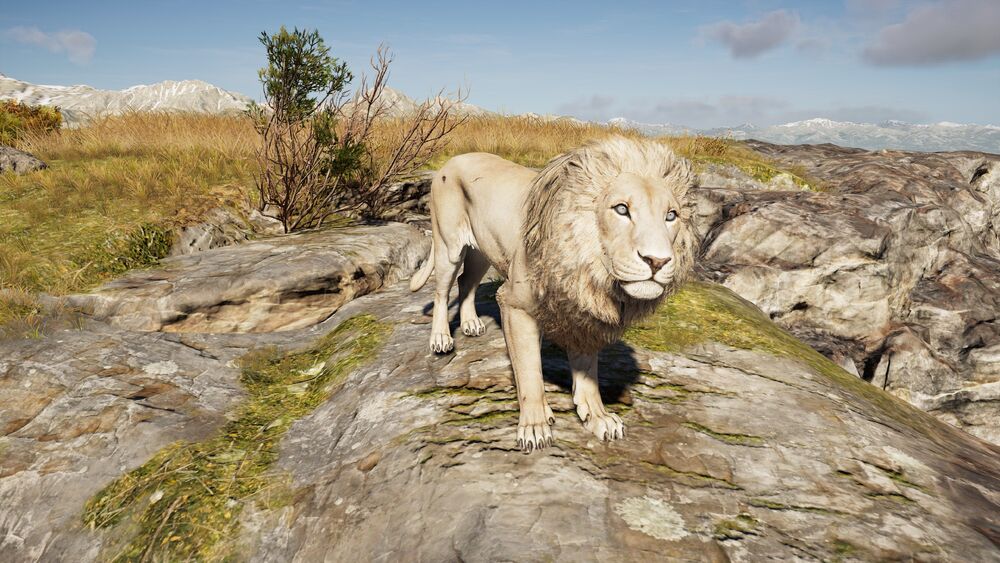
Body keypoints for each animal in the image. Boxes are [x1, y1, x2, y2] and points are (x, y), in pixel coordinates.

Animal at [409, 135, 697, 451]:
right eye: (622, 209)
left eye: (671, 216)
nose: (658, 261)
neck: (585, 262)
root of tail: (452, 160)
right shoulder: (515, 305)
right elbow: (529, 370)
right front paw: (535, 426)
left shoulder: (584, 310)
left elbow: (588, 370)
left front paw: (598, 416)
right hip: (447, 245)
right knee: (442, 290)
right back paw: (441, 339)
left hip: (482, 251)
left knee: (466, 282)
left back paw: (472, 323)